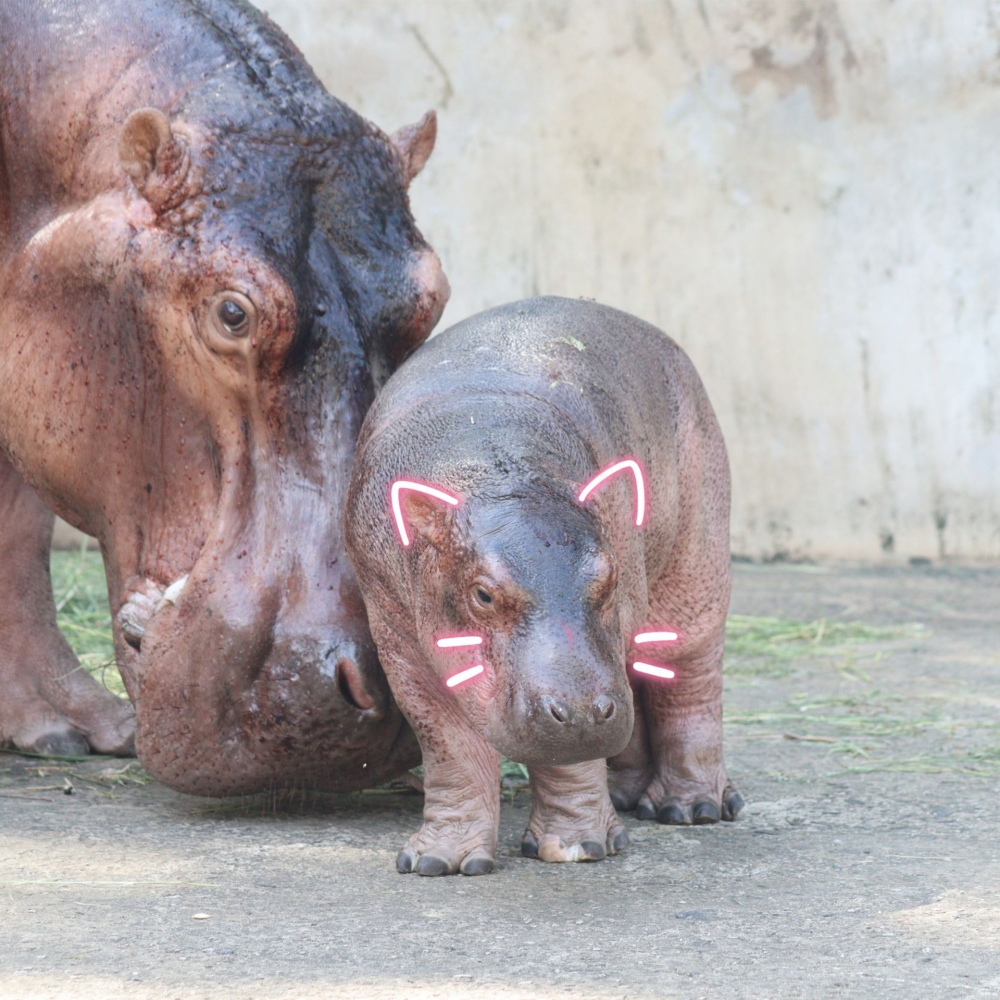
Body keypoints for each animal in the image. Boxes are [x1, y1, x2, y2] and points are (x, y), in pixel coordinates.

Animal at [345, 296, 744, 875]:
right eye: (483, 594)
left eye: (610, 577)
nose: (582, 711)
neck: (490, 466)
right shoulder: (402, 645)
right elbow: (450, 746)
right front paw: (438, 862)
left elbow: (573, 755)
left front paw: (577, 848)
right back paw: (628, 796)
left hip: (696, 561)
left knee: (688, 678)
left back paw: (690, 807)